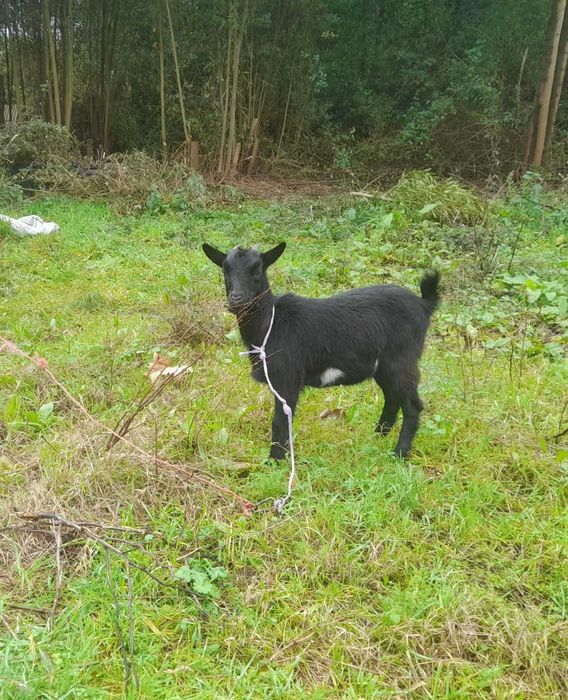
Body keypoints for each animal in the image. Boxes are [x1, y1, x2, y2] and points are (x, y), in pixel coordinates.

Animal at [202, 242, 440, 460]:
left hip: (401, 360)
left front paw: (275, 460)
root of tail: (424, 304)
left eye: (258, 269)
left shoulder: (288, 378)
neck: (271, 323)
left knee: (412, 405)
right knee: (392, 398)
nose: (237, 300)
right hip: (383, 367)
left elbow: (280, 421)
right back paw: (378, 436)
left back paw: (399, 453)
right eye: (225, 269)